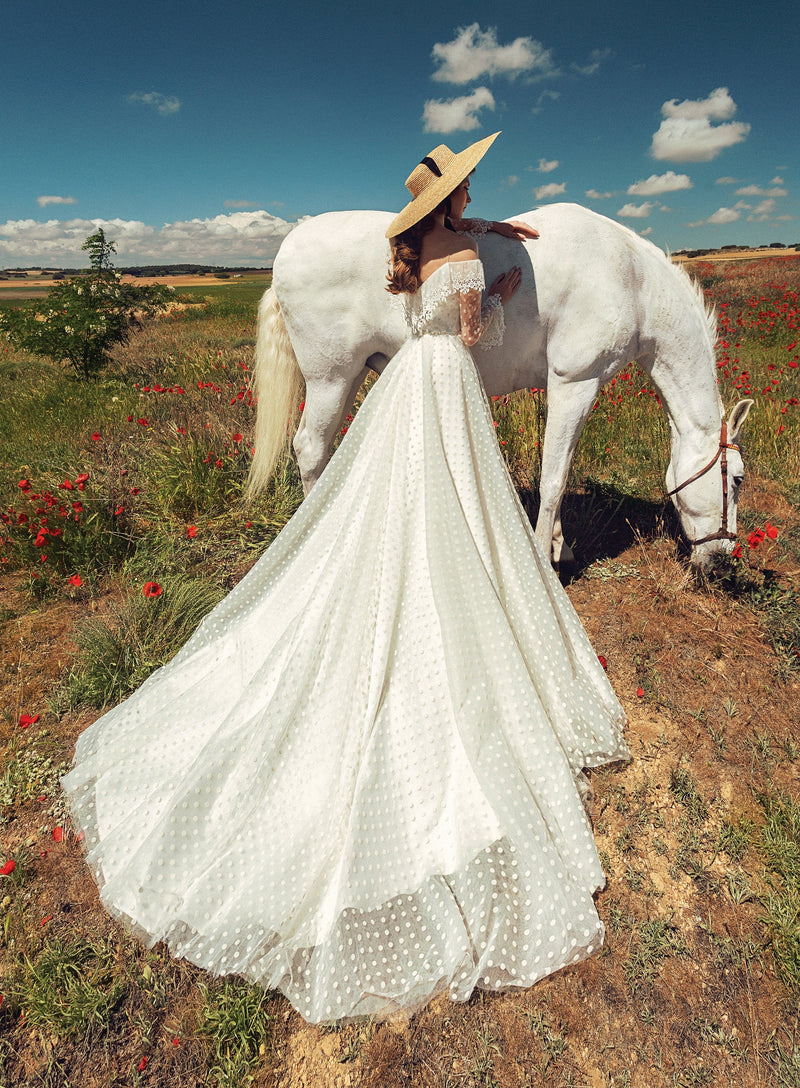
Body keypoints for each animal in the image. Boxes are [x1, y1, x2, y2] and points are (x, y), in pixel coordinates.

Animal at [249, 201, 748, 570]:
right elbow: (553, 479)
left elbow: (559, 467)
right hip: (331, 379)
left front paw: (561, 546)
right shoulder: (576, 383)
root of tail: (283, 254)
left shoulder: (567, 390)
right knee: (310, 449)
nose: (723, 557)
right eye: (738, 480)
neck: (631, 280)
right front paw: (546, 559)